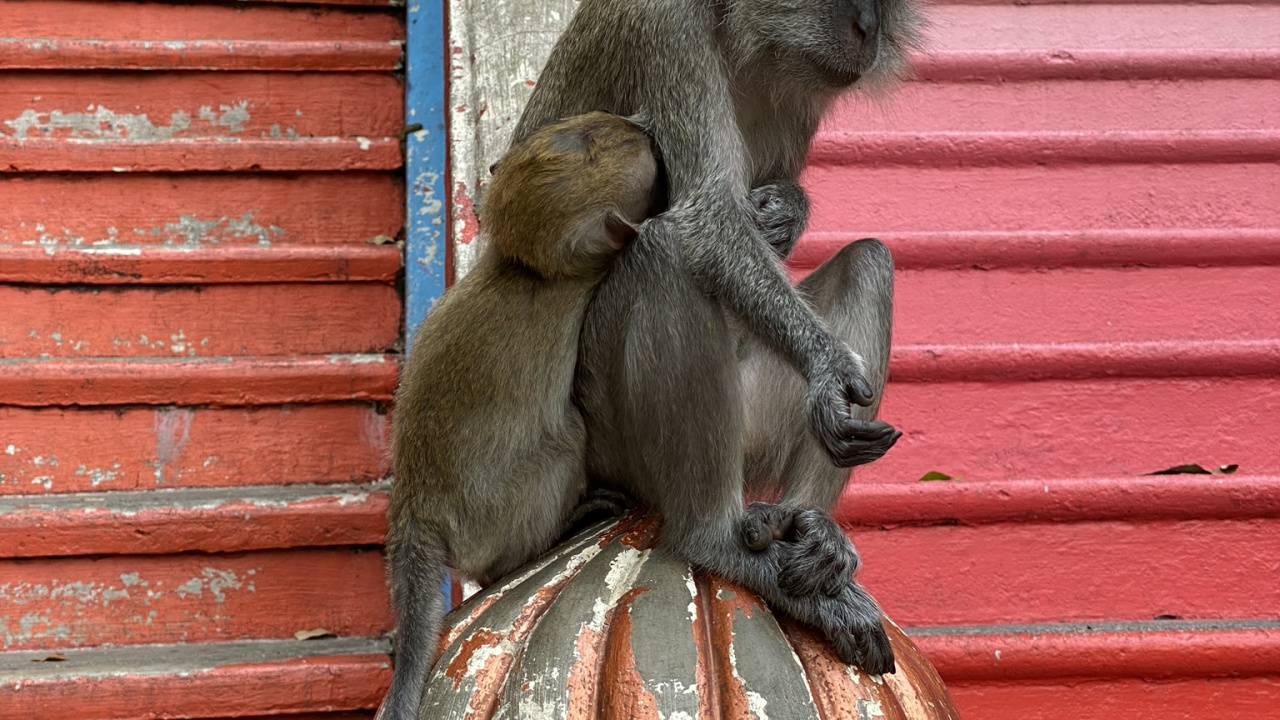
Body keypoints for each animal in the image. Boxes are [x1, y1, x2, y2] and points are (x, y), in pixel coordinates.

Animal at [380, 112, 660, 720]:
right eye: (610, 141)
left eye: (591, 126)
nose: (640, 127)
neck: (527, 270)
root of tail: (416, 507)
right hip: (497, 513)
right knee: (567, 436)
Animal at [511, 0, 921, 673]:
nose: (869, 30)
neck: (739, 30)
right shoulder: (663, 32)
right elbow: (708, 220)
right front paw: (827, 366)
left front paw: (788, 209)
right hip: (613, 437)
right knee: (664, 253)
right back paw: (715, 540)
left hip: (748, 414)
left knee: (869, 263)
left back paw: (806, 527)